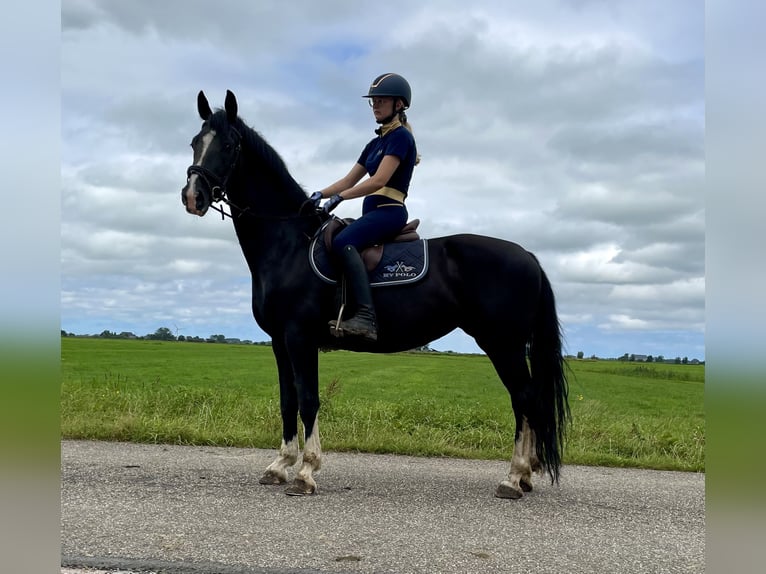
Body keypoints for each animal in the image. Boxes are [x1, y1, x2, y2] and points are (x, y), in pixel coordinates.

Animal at [183, 90, 572, 500]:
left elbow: (308, 400)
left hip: (503, 344)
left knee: (524, 400)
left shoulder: (300, 338)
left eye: (228, 146)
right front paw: (279, 466)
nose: (192, 196)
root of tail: (528, 255)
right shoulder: (279, 340)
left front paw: (306, 471)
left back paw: (513, 478)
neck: (289, 244)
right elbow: (288, 401)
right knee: (525, 401)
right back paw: (525, 475)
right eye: (195, 143)